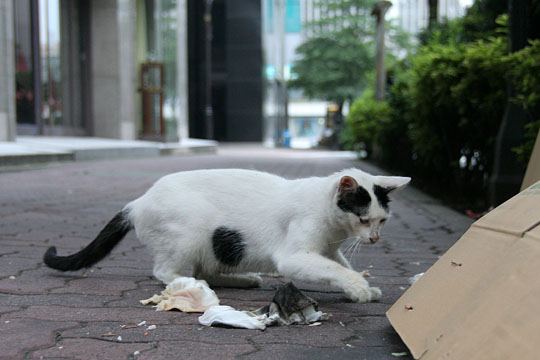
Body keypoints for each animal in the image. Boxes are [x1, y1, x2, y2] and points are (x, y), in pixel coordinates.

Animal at [44, 167, 412, 302]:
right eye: (363, 219)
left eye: (382, 221)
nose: (375, 239)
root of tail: (138, 202)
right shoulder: (295, 256)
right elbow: (335, 269)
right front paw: (359, 288)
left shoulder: (327, 249)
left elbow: (339, 265)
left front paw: (363, 286)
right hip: (191, 232)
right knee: (166, 271)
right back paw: (193, 283)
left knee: (207, 268)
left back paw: (244, 279)